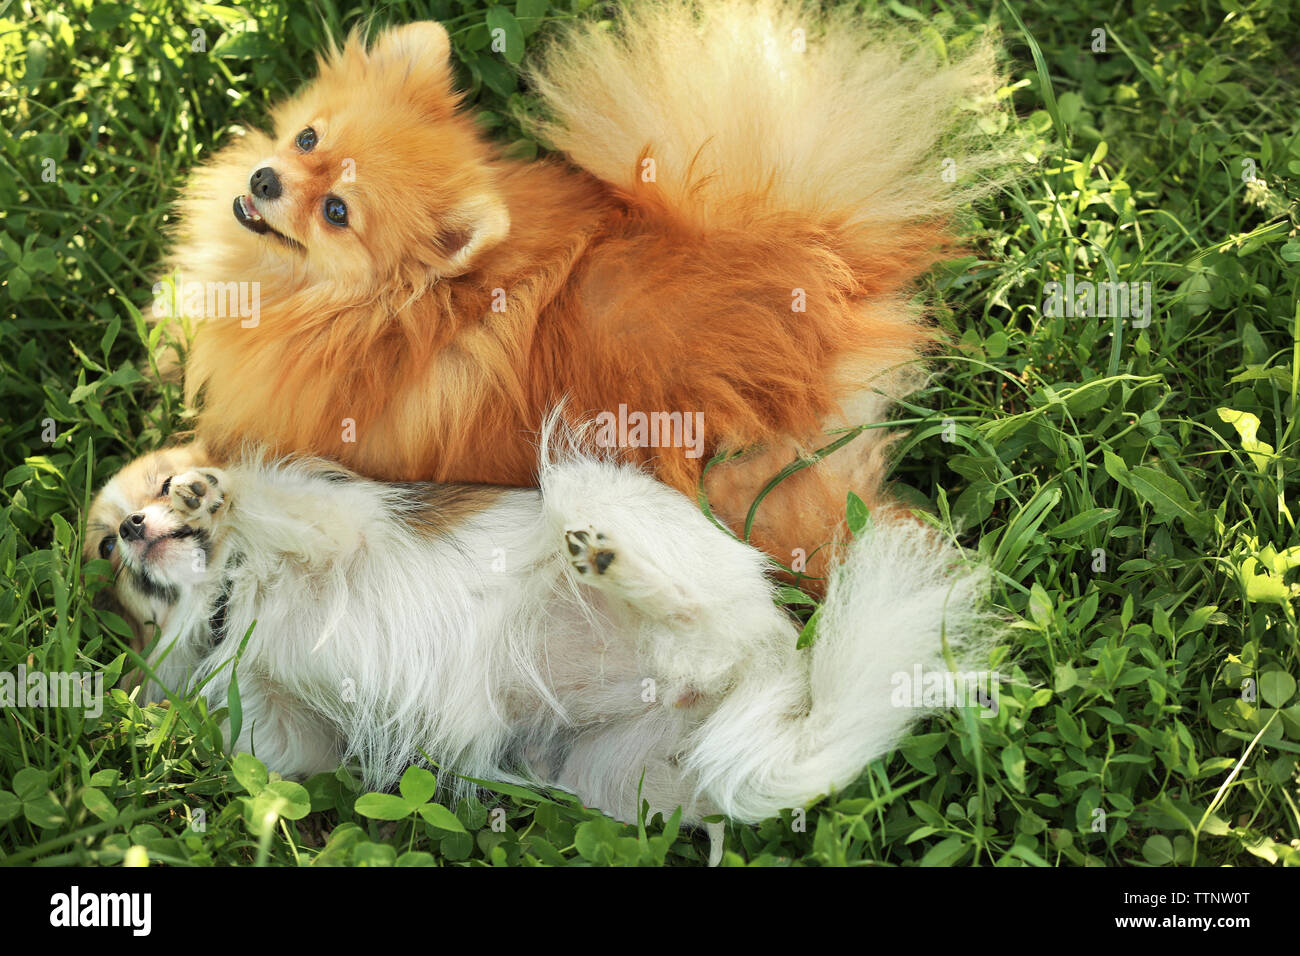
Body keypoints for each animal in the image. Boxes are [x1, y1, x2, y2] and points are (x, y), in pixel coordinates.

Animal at [86, 424, 987, 858]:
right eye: (104, 552)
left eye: (160, 484)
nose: (133, 529)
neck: (238, 594)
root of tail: (767, 669)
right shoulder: (297, 725)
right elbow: (266, 727)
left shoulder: (338, 525)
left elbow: (277, 508)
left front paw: (215, 499)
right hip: (620, 780)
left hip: (589, 487)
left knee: (682, 605)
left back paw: (618, 566)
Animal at [159, 0, 1013, 580]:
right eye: (307, 137)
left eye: (337, 212)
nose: (263, 180)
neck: (372, 311)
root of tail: (821, 260)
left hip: (752, 485)